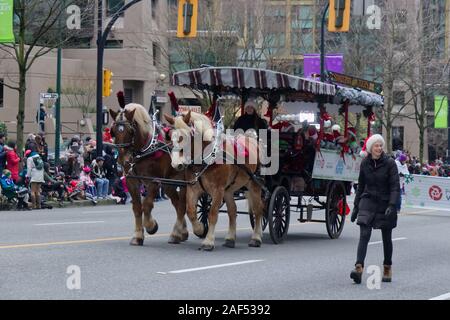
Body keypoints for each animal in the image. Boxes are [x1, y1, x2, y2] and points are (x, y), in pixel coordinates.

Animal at [110, 104, 189, 246]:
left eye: (131, 131)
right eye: (113, 131)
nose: (123, 161)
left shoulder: (154, 180)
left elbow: (147, 205)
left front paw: (151, 226)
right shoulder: (131, 180)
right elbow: (137, 207)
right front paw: (137, 236)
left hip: (184, 181)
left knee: (182, 205)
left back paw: (177, 233)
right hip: (169, 183)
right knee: (176, 203)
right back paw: (181, 233)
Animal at [163, 111, 266, 251]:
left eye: (186, 137)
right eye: (170, 138)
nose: (176, 164)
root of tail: (253, 138)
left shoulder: (217, 191)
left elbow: (212, 214)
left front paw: (208, 241)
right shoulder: (193, 188)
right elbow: (190, 211)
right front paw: (200, 229)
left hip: (254, 185)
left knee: (258, 210)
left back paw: (256, 238)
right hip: (229, 190)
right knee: (232, 211)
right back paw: (230, 239)